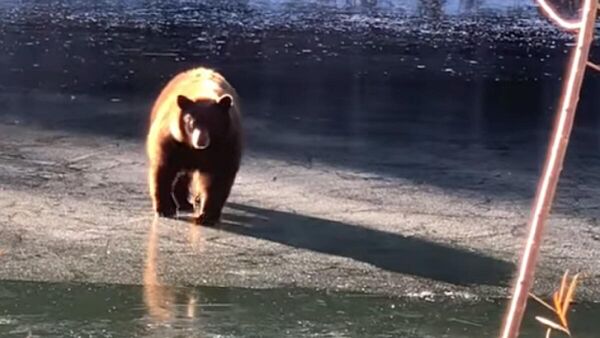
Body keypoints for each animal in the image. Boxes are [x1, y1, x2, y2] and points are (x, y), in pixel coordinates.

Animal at [146, 66, 243, 226]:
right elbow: (163, 169)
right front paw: (165, 209)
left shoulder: (226, 144)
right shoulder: (172, 140)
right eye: (191, 122)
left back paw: (187, 202)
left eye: (212, 123)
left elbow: (219, 177)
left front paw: (207, 216)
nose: (201, 141)